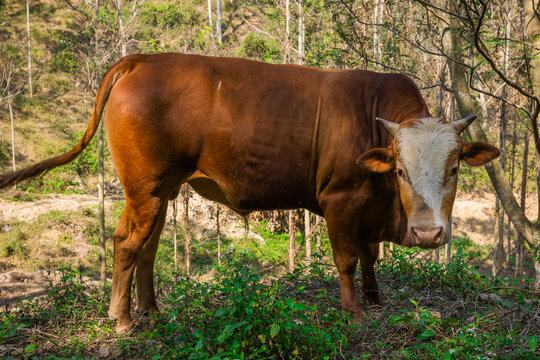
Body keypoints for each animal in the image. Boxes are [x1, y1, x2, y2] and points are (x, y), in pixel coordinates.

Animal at [0, 53, 500, 332]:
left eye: (455, 168)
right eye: (400, 170)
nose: (430, 235)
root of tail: (140, 58)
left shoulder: (367, 208)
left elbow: (370, 256)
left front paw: (376, 299)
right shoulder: (341, 199)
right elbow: (347, 259)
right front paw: (354, 312)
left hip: (162, 192)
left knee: (148, 248)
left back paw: (152, 311)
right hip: (143, 190)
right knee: (126, 243)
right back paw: (122, 320)